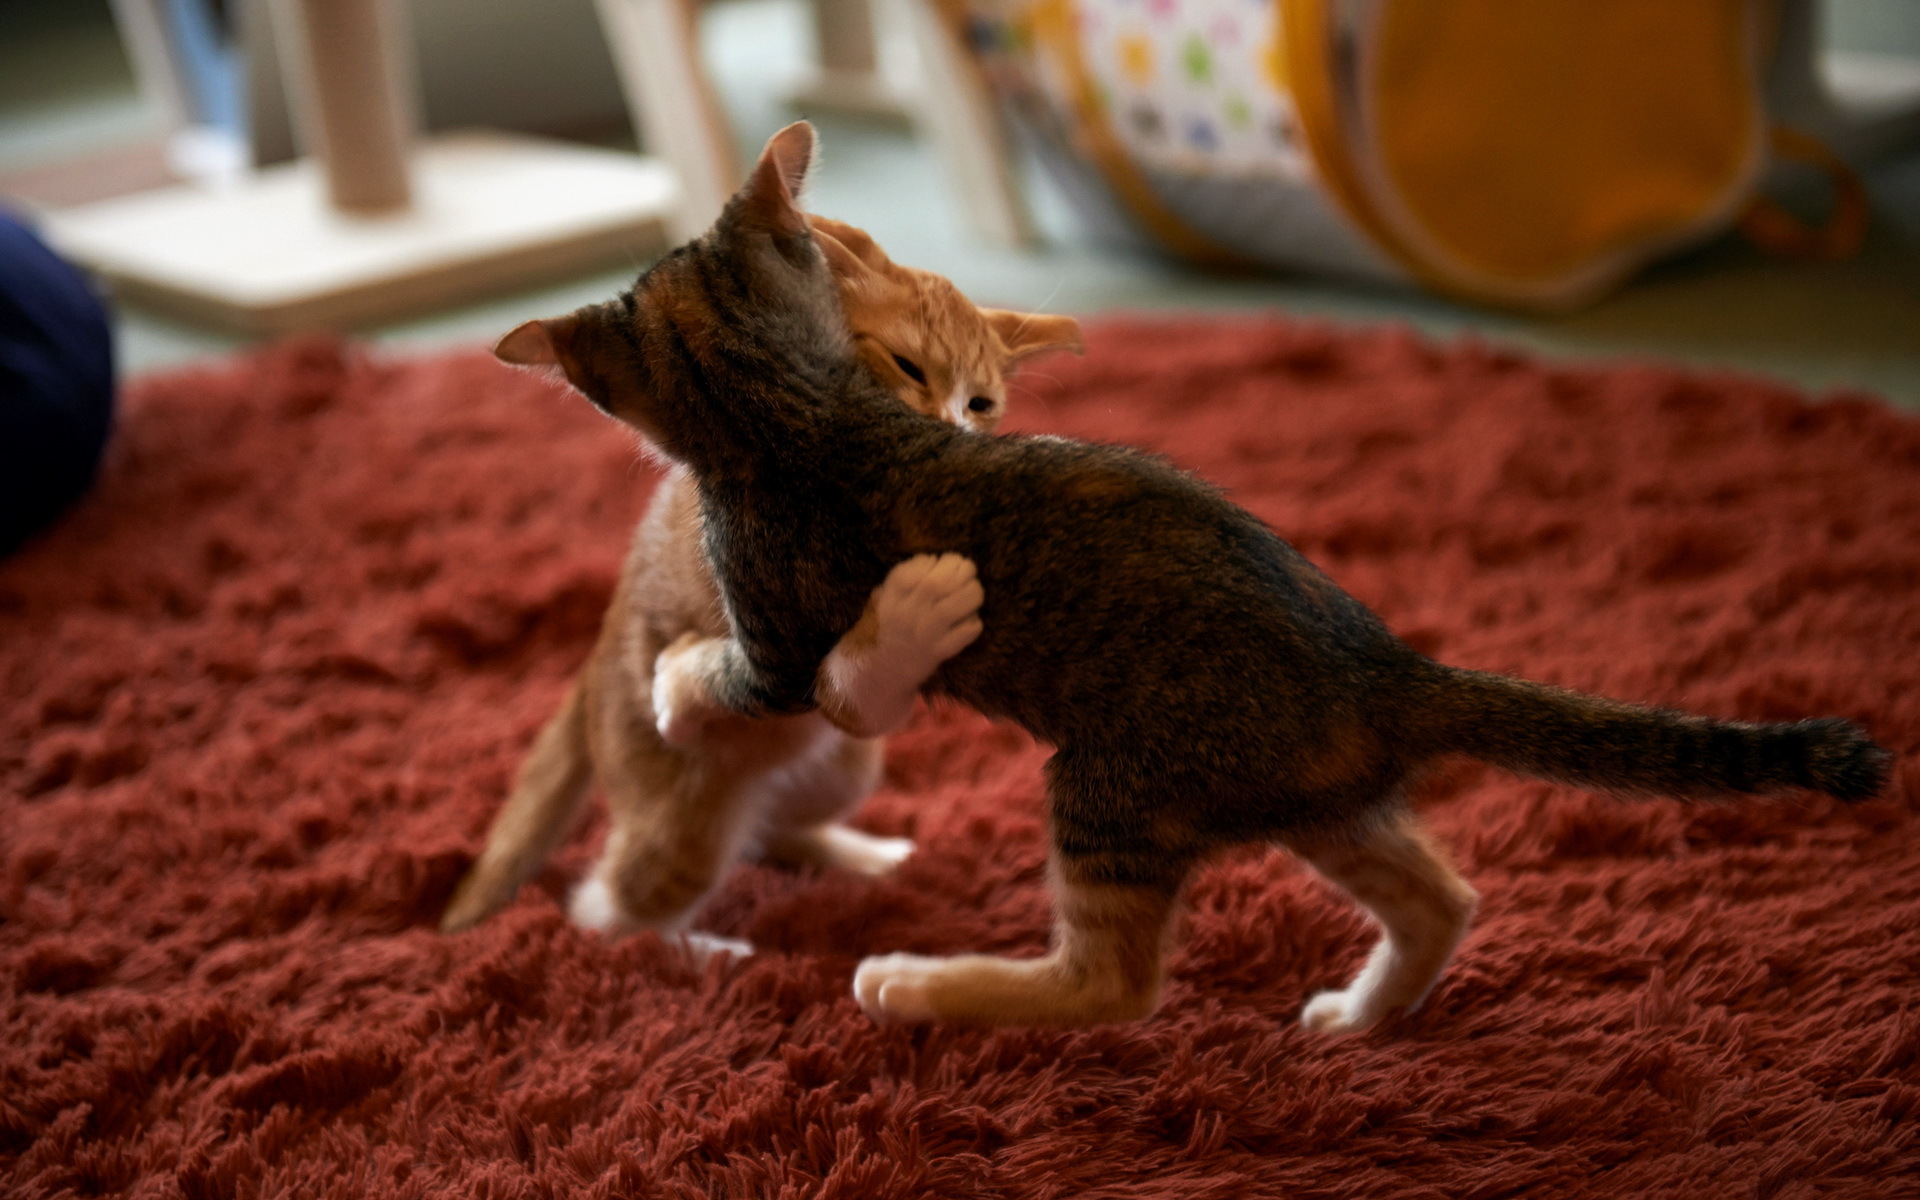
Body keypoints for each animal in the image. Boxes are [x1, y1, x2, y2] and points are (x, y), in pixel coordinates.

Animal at [439, 213, 1090, 944]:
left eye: (980, 404)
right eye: (906, 365)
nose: (951, 433)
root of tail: (594, 661)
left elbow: (867, 701)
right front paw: (914, 614)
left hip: (843, 770)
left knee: (767, 828)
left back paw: (860, 859)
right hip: (680, 821)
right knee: (612, 905)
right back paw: (698, 952)